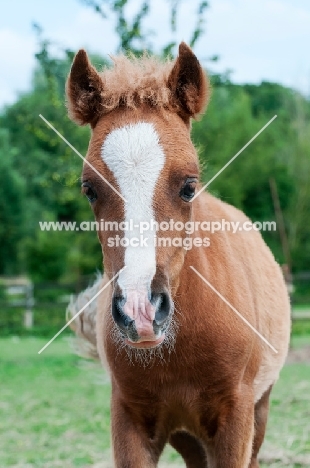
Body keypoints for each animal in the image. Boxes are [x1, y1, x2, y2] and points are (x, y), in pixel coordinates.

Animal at [66, 42, 290, 466]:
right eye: (89, 189)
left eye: (189, 185)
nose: (140, 312)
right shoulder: (129, 420)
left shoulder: (237, 417)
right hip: (188, 435)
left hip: (261, 408)